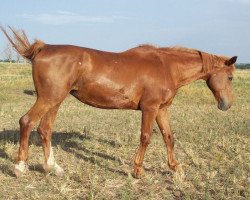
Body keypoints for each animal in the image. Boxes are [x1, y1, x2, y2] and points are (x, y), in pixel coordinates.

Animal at [0, 27, 237, 178]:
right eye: (230, 77)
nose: (226, 105)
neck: (166, 66)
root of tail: (44, 48)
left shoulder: (162, 110)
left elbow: (169, 138)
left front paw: (175, 168)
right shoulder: (150, 108)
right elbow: (146, 137)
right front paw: (138, 170)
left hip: (55, 101)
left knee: (45, 129)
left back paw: (53, 168)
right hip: (48, 99)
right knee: (27, 122)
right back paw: (20, 167)